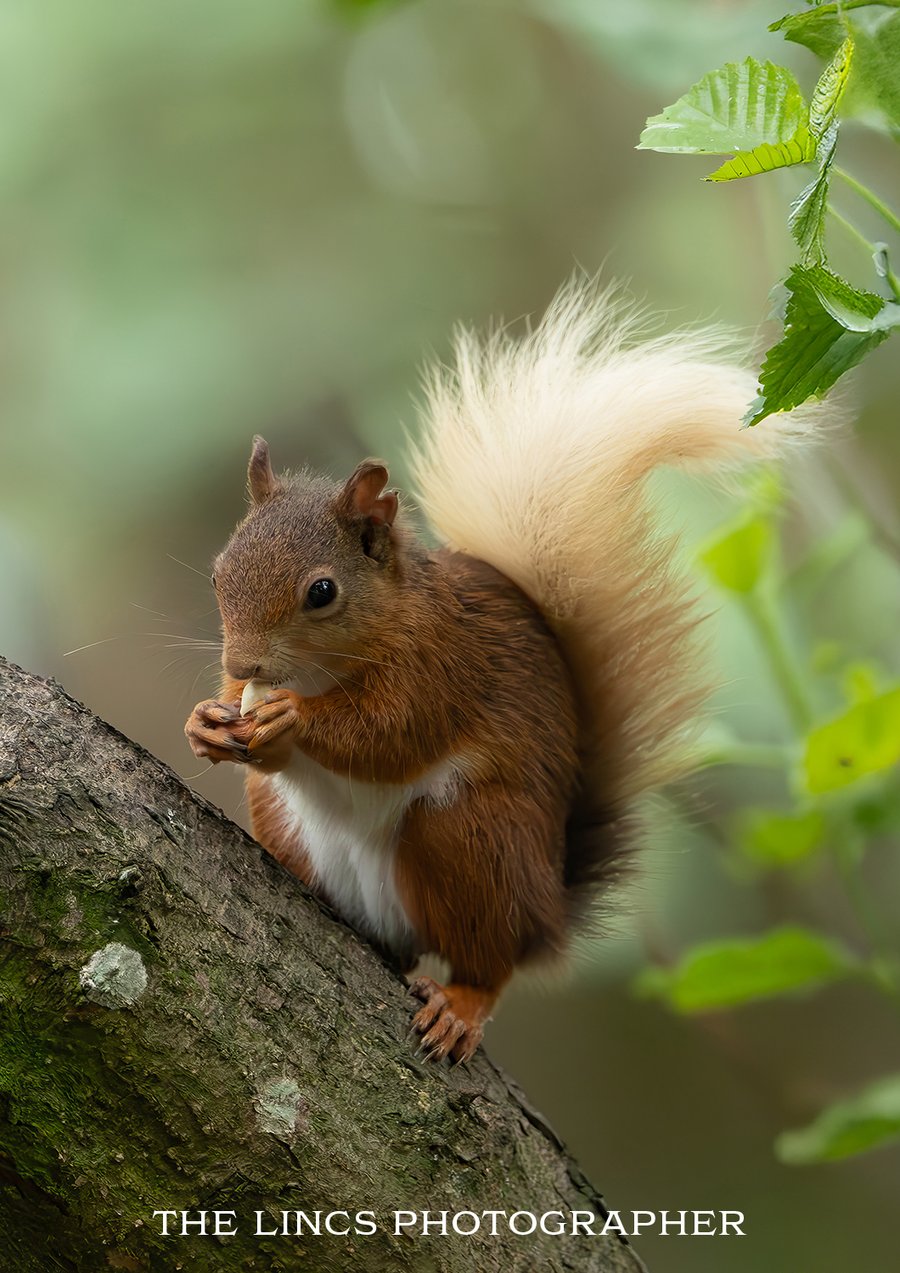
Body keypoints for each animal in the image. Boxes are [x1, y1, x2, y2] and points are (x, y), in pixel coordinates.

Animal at [185, 280, 809, 1063]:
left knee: (491, 962)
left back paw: (464, 1003)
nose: (242, 663)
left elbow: (389, 734)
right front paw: (208, 720)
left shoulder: (443, 666)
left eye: (321, 592)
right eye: (218, 571)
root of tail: (546, 909)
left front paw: (289, 719)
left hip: (470, 838)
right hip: (289, 822)